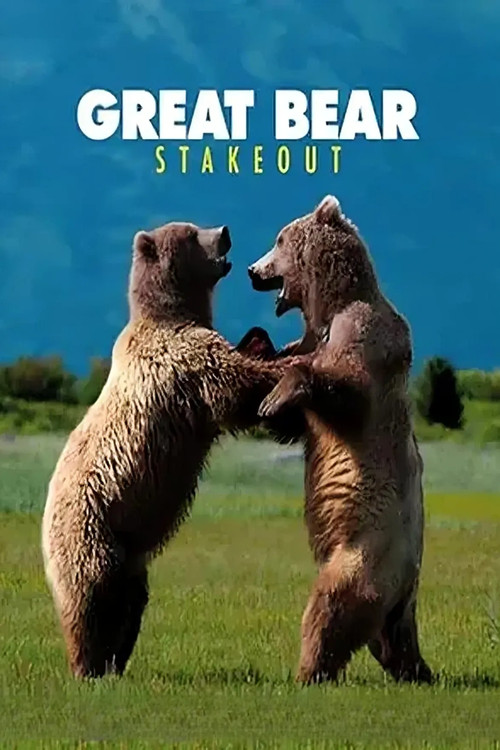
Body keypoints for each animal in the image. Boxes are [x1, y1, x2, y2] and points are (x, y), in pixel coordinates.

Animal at [42, 220, 294, 679]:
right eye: (192, 233)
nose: (225, 230)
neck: (174, 313)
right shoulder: (180, 360)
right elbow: (233, 385)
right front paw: (286, 364)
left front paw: (263, 341)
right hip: (90, 531)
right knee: (92, 599)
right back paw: (89, 664)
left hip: (128, 552)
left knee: (131, 600)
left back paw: (114, 660)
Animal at [247, 195, 432, 685]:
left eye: (279, 239)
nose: (253, 270)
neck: (329, 309)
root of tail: (408, 590)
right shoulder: (312, 339)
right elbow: (296, 422)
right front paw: (259, 353)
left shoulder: (366, 338)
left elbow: (347, 391)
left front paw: (276, 395)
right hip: (389, 599)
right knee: (385, 640)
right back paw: (414, 669)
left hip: (367, 554)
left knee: (332, 605)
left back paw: (309, 671)